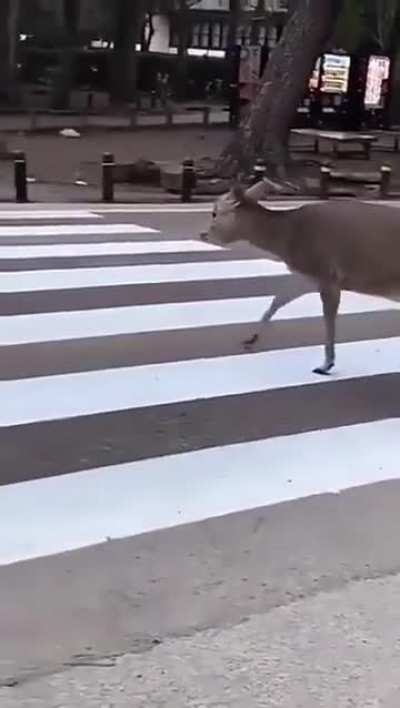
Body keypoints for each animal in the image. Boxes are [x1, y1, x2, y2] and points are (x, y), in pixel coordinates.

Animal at [201, 179, 400, 375]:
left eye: (214, 213)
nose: (203, 234)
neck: (288, 239)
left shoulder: (328, 274)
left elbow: (328, 319)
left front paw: (326, 364)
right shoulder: (306, 276)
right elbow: (276, 302)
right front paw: (250, 339)